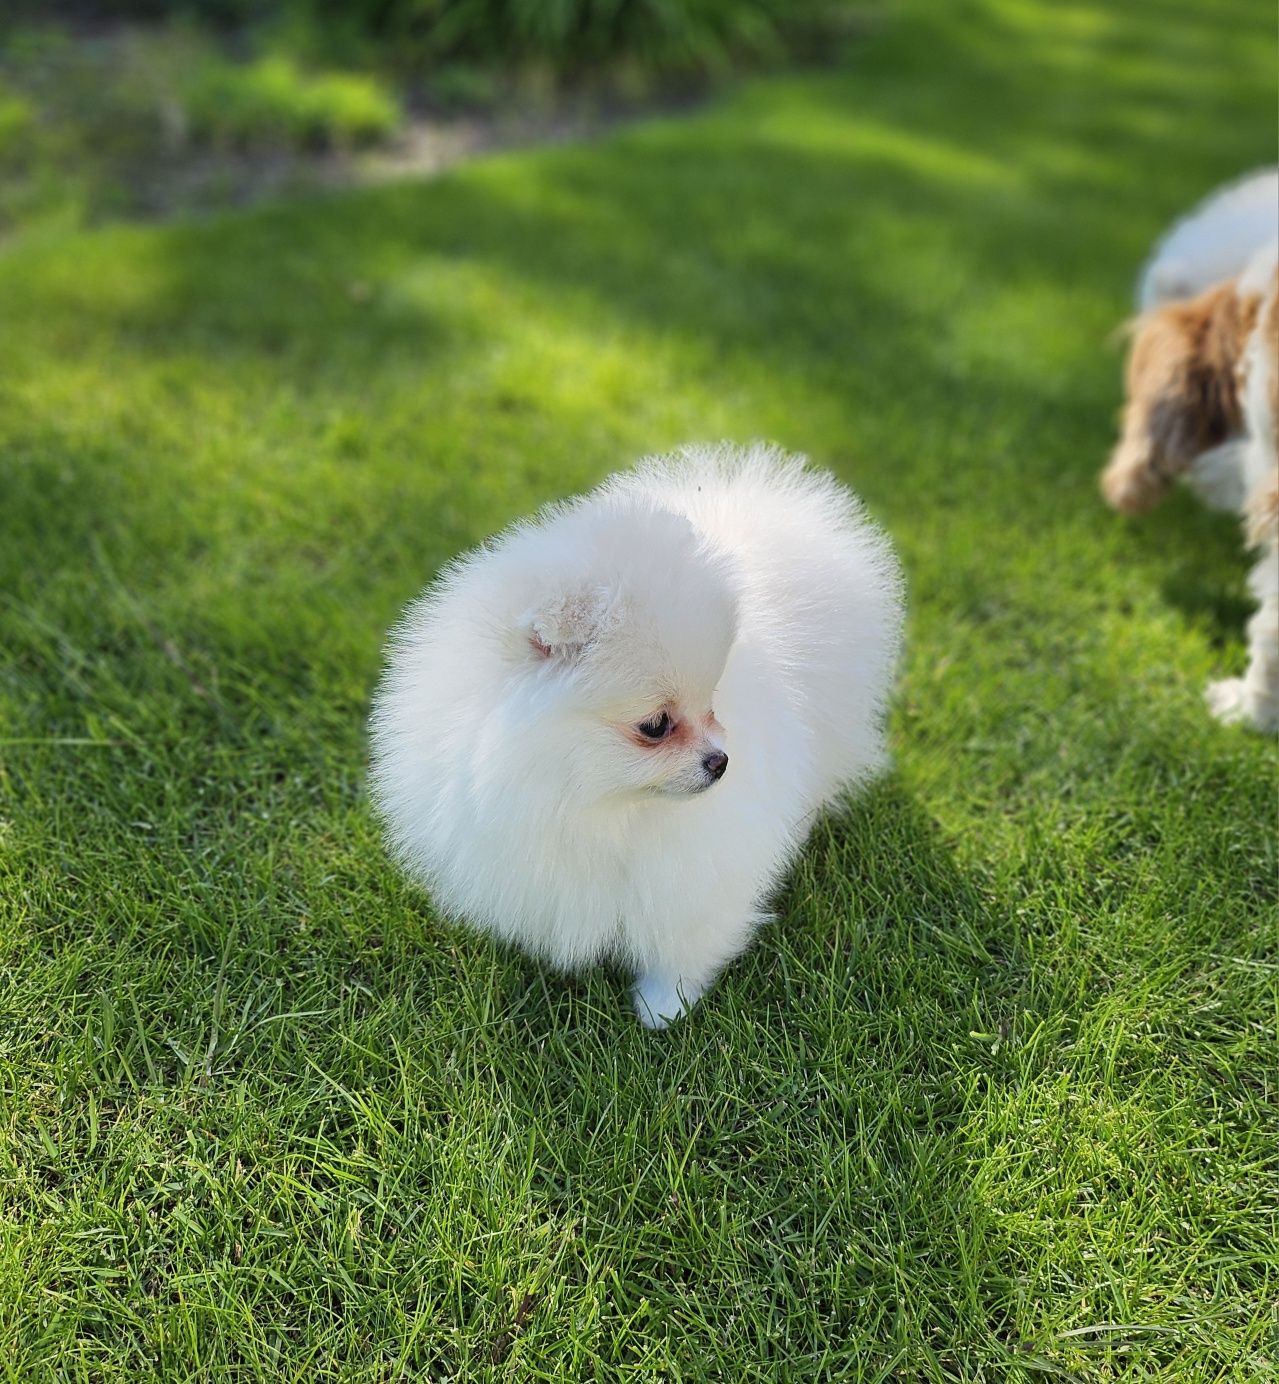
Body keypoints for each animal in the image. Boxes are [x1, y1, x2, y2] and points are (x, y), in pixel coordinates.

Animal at [365, 442, 902, 1029]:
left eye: (712, 703)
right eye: (656, 726)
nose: (721, 762)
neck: (594, 802)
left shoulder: (697, 866)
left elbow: (683, 941)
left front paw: (663, 1007)